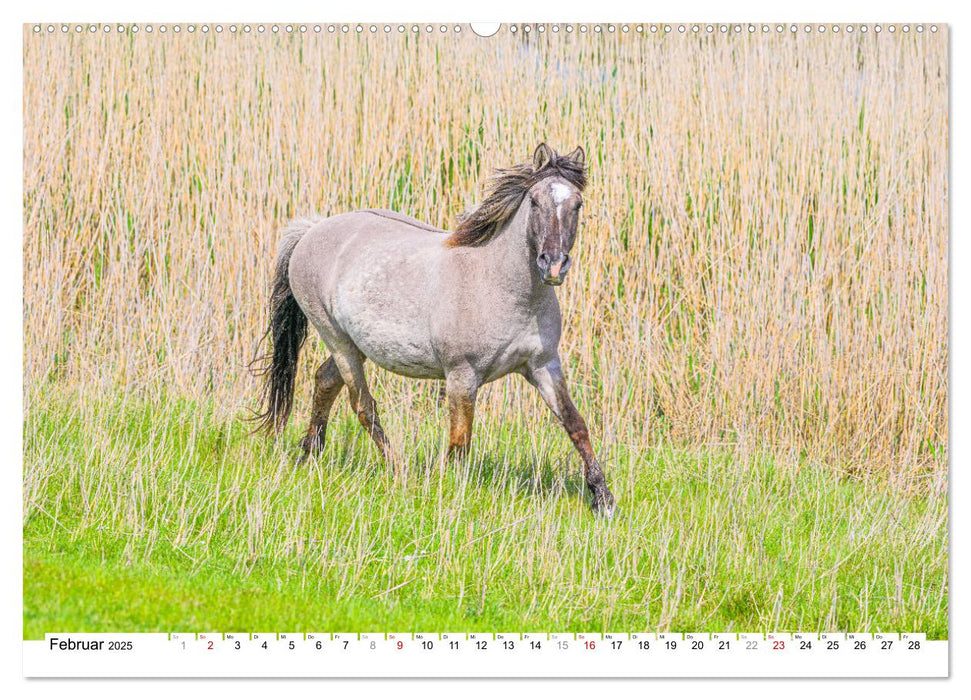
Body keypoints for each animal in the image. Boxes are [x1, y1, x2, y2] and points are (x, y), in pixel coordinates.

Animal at [251, 144, 616, 516]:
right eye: (535, 201)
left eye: (577, 204)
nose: (553, 265)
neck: (503, 287)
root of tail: (311, 230)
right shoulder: (462, 375)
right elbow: (460, 439)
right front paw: (450, 490)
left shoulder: (543, 365)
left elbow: (575, 424)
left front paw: (602, 497)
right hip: (337, 340)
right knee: (363, 405)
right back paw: (397, 469)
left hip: (355, 346)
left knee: (325, 380)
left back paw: (309, 453)